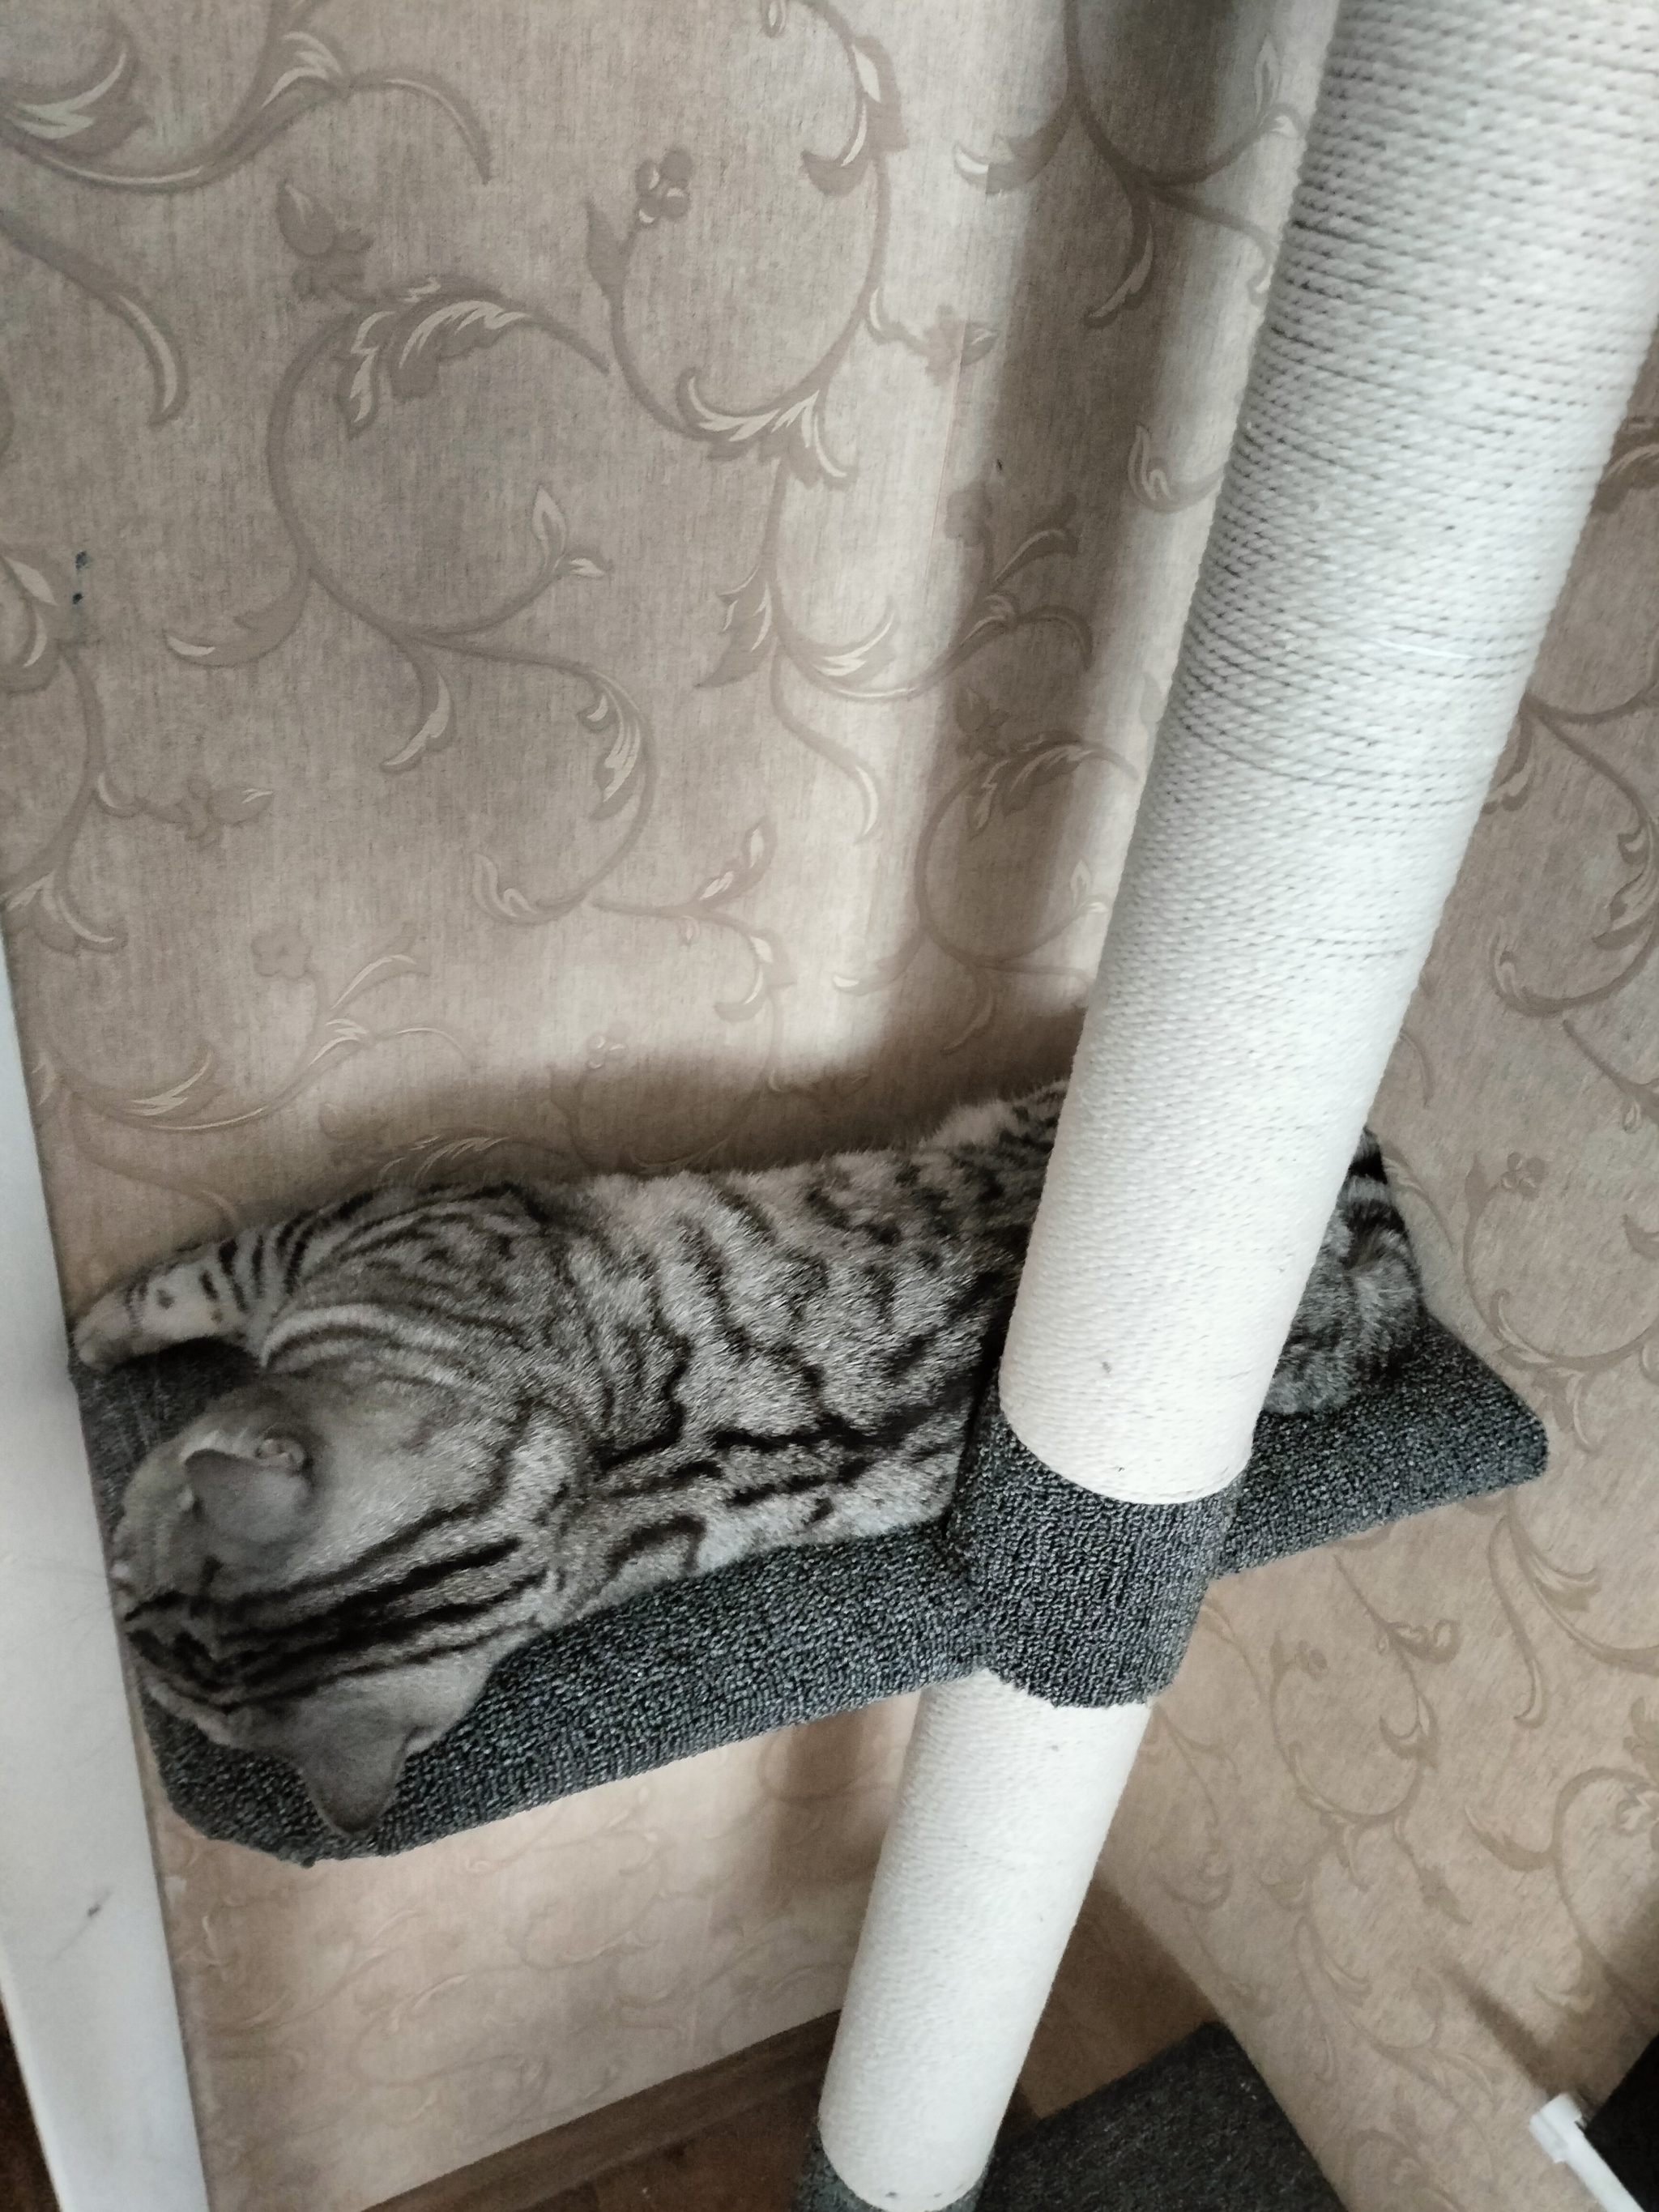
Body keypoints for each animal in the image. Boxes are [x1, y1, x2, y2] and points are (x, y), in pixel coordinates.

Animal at [74, 1082, 1421, 1836]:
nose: (110, 1601)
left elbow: (189, 1274)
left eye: (130, 1565)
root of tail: (1342, 1316)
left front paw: (86, 1328)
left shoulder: (349, 1228)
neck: (563, 1479)